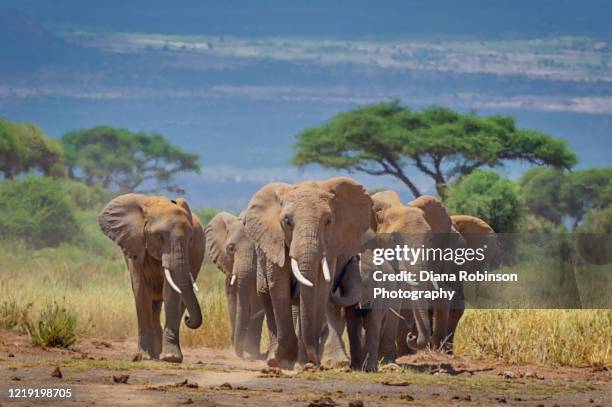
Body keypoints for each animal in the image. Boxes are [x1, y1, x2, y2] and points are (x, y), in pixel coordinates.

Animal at [207, 212, 264, 358]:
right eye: (230, 248)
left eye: (259, 250)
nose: (241, 354)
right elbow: (232, 299)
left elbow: (257, 300)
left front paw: (251, 351)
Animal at [245, 177, 372, 368]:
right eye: (287, 221)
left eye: (328, 221)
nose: (316, 362)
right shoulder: (275, 242)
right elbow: (279, 288)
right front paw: (281, 359)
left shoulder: (331, 246)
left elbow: (320, 291)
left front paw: (306, 363)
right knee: (266, 296)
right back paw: (275, 358)